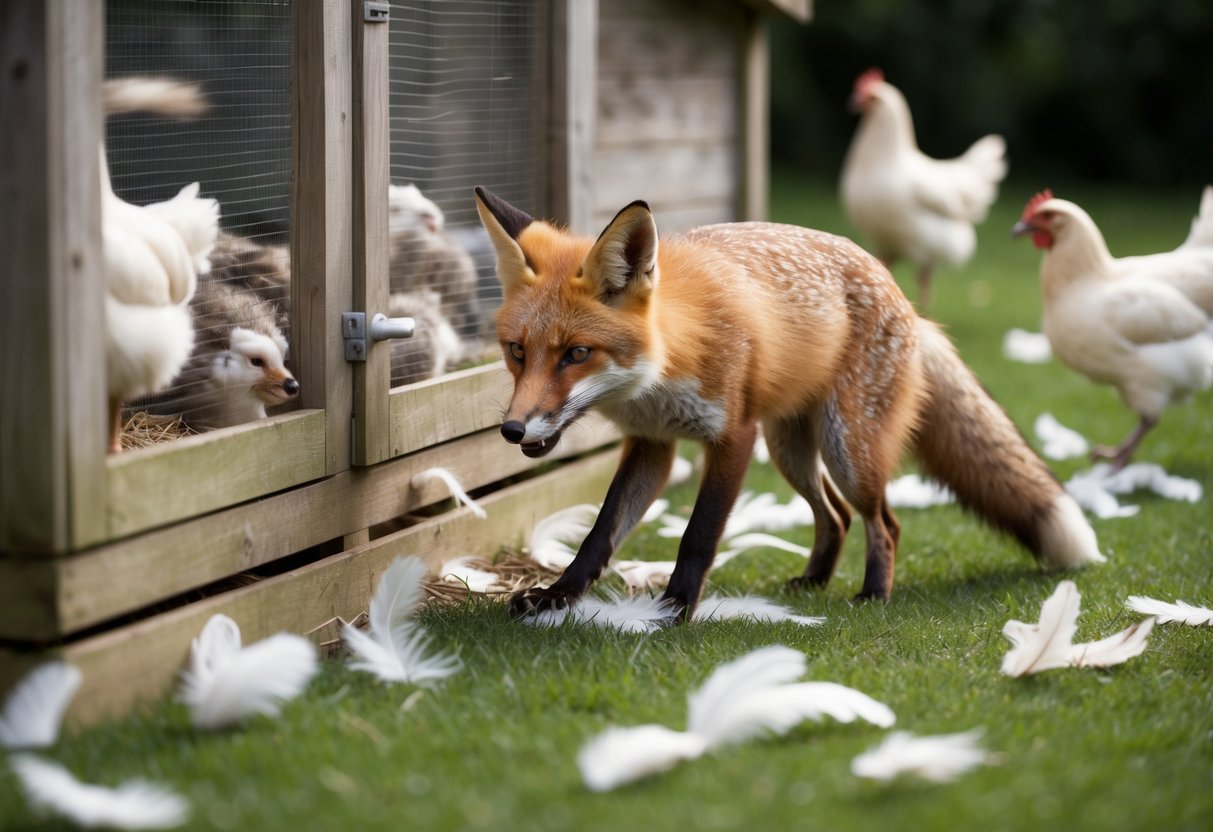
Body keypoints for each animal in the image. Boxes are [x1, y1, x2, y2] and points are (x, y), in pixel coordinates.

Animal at [474, 186, 1105, 620]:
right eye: (516, 351)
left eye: (577, 353)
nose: (513, 430)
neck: (667, 362)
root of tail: (907, 302)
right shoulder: (653, 445)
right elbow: (599, 533)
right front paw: (557, 596)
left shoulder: (732, 436)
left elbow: (698, 535)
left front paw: (674, 609)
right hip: (791, 450)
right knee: (837, 516)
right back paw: (815, 582)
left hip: (847, 451)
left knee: (884, 521)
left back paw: (873, 593)